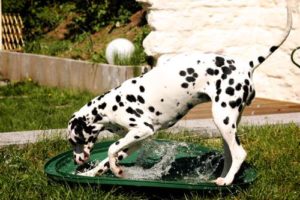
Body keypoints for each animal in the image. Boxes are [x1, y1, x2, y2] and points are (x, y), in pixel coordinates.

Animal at [68, 3, 292, 186]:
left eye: (74, 140)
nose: (76, 161)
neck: (107, 107)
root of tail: (246, 65)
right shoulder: (134, 140)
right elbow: (108, 157)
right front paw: (91, 174)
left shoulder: (143, 129)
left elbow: (110, 149)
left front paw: (114, 169)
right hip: (226, 125)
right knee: (229, 155)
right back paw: (220, 178)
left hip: (222, 120)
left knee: (239, 153)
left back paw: (227, 181)